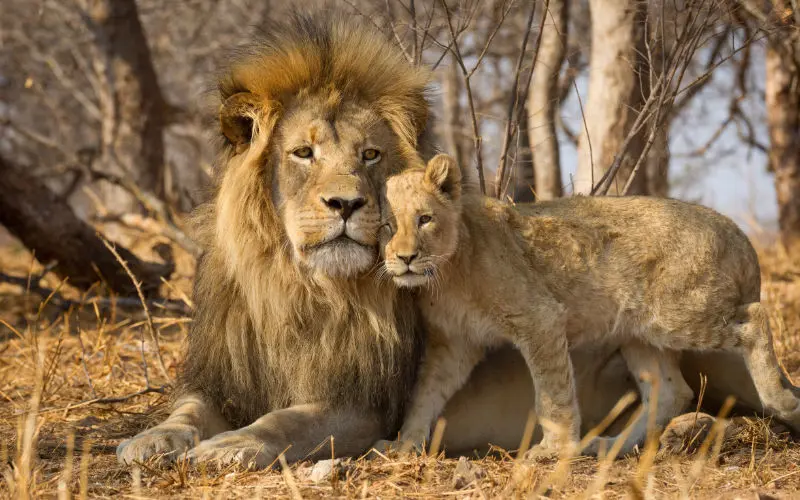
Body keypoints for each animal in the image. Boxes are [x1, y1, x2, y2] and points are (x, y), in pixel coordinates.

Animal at [374, 154, 800, 457]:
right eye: (386, 226)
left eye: (424, 219)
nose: (406, 257)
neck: (445, 277)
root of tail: (737, 232)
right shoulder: (453, 344)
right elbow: (424, 396)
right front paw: (403, 444)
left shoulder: (539, 318)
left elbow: (552, 392)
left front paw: (554, 449)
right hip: (640, 333)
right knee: (670, 391)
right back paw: (609, 446)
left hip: (677, 313)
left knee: (755, 319)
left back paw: (782, 398)